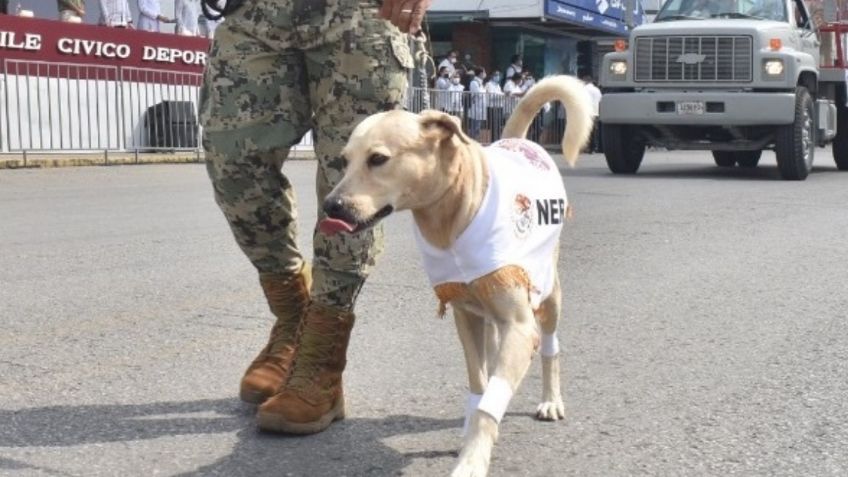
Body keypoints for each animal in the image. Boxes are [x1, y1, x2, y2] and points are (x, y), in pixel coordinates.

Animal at [316, 76, 588, 474]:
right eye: (344, 160)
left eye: (378, 159)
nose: (330, 206)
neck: (451, 218)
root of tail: (519, 141)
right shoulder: (463, 315)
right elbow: (479, 386)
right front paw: (474, 432)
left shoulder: (521, 325)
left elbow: (493, 397)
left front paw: (473, 457)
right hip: (485, 313)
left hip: (548, 292)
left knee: (551, 347)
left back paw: (551, 399)